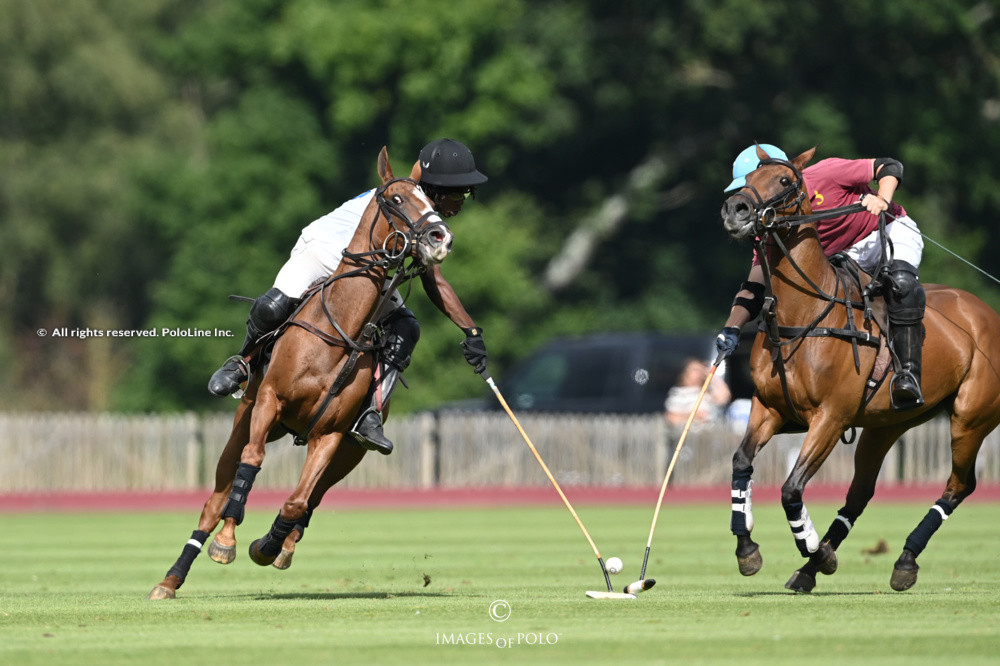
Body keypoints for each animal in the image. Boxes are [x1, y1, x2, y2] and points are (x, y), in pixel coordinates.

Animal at [146, 148, 452, 600]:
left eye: (430, 201)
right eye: (396, 200)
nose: (440, 237)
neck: (340, 331)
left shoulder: (332, 434)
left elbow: (297, 500)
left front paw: (267, 545)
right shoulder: (269, 401)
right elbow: (251, 465)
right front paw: (227, 543)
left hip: (352, 452)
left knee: (314, 496)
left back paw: (283, 544)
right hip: (246, 419)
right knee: (216, 497)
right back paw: (170, 579)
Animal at [720, 147, 1000, 592]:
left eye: (785, 181)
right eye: (746, 179)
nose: (736, 209)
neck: (805, 312)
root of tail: (988, 313)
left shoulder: (831, 417)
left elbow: (791, 488)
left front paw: (815, 549)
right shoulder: (771, 409)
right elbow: (741, 463)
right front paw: (749, 549)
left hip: (971, 418)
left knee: (959, 485)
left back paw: (902, 560)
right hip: (886, 425)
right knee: (860, 493)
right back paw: (812, 570)